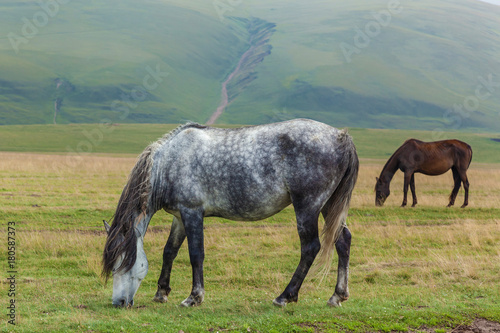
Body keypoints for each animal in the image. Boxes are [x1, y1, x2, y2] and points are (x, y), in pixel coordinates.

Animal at [102, 118, 360, 308]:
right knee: (343, 241)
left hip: (307, 207)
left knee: (310, 248)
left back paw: (284, 296)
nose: (119, 302)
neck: (168, 164)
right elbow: (169, 251)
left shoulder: (192, 213)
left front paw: (194, 297)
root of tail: (341, 137)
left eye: (122, 263)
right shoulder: (179, 217)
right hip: (328, 206)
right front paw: (161, 293)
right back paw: (337, 296)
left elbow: (196, 254)